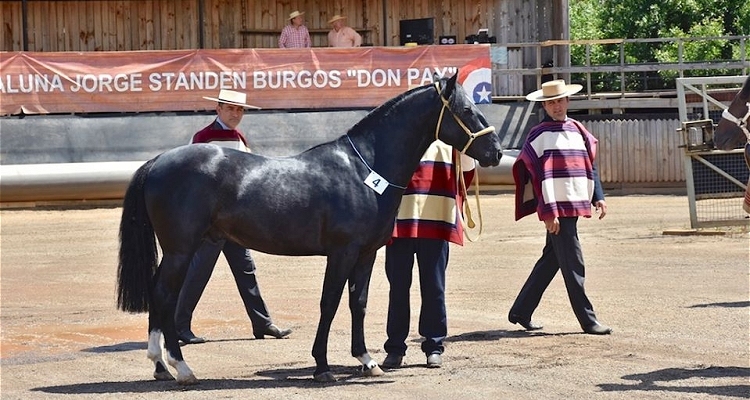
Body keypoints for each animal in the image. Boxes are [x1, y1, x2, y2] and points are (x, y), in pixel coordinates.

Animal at [116, 74, 506, 384]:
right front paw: (322, 366)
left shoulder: (365, 254)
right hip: (181, 250)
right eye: (466, 110)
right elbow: (329, 303)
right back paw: (180, 368)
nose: (496, 152)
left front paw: (367, 361)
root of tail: (157, 162)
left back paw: (161, 368)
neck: (364, 170)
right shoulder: (342, 252)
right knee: (164, 296)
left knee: (160, 296)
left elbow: (358, 303)